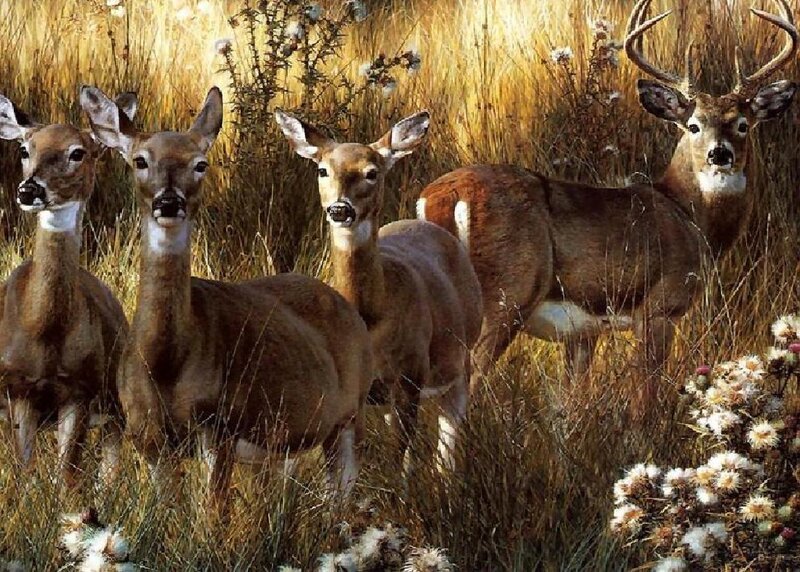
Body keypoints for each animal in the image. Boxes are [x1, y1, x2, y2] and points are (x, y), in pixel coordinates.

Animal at [0, 91, 136, 487]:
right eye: (25, 149)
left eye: (78, 152)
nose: (29, 190)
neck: (43, 330)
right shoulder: (17, 389)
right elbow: (25, 473)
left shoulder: (79, 391)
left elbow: (67, 478)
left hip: (115, 404)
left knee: (109, 471)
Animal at [79, 85, 374, 510]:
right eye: (140, 160)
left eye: (200, 164)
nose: (169, 202)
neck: (167, 361)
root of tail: (346, 307)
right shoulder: (148, 437)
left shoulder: (219, 426)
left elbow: (211, 516)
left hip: (349, 415)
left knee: (342, 498)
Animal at [275, 109, 483, 473]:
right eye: (322, 169)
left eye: (371, 173)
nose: (339, 209)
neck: (372, 315)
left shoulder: (411, 374)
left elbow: (397, 453)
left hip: (460, 356)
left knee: (449, 430)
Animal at [417, 0, 797, 417]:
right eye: (694, 125)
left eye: (743, 124)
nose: (720, 154)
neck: (688, 216)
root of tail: (440, 197)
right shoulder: (660, 306)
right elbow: (644, 400)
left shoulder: (582, 332)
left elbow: (566, 410)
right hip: (504, 295)